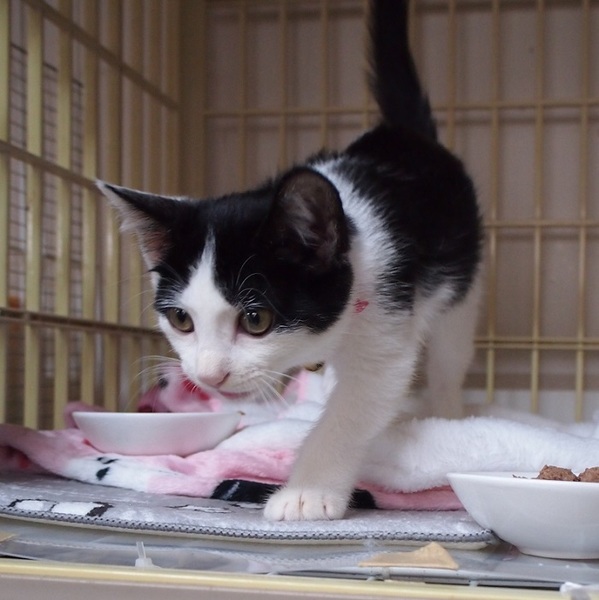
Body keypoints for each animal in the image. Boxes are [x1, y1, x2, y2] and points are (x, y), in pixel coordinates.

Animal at [98, 0, 483, 521]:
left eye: (256, 319)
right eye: (181, 320)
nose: (209, 376)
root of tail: (405, 134)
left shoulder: (387, 319)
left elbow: (357, 403)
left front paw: (307, 491)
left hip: (460, 283)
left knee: (448, 354)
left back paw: (443, 412)